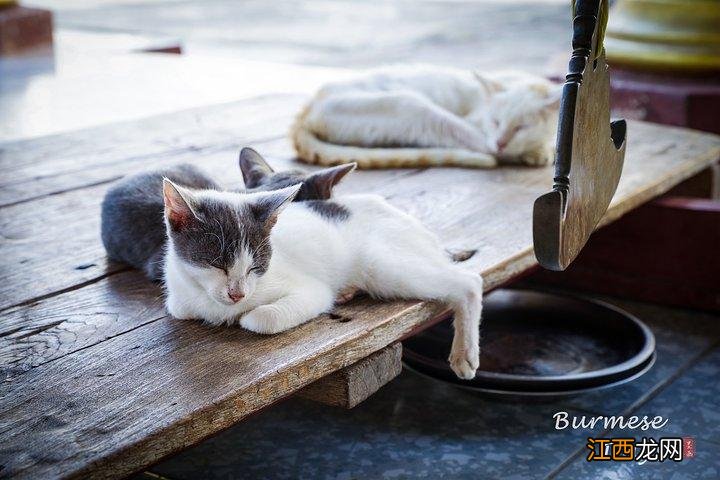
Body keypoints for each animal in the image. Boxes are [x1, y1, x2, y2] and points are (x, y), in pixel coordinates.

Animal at [163, 176, 484, 378]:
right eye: (217, 264)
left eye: (256, 266)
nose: (237, 294)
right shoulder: (179, 301)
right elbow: (180, 308)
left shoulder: (312, 291)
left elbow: (261, 319)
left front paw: (248, 316)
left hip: (382, 264)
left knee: (470, 281)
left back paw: (465, 353)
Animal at [292, 64, 564, 168]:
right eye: (495, 122)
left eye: (521, 127)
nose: (500, 142)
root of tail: (307, 107)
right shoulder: (477, 122)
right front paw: (538, 150)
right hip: (412, 105)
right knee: (482, 149)